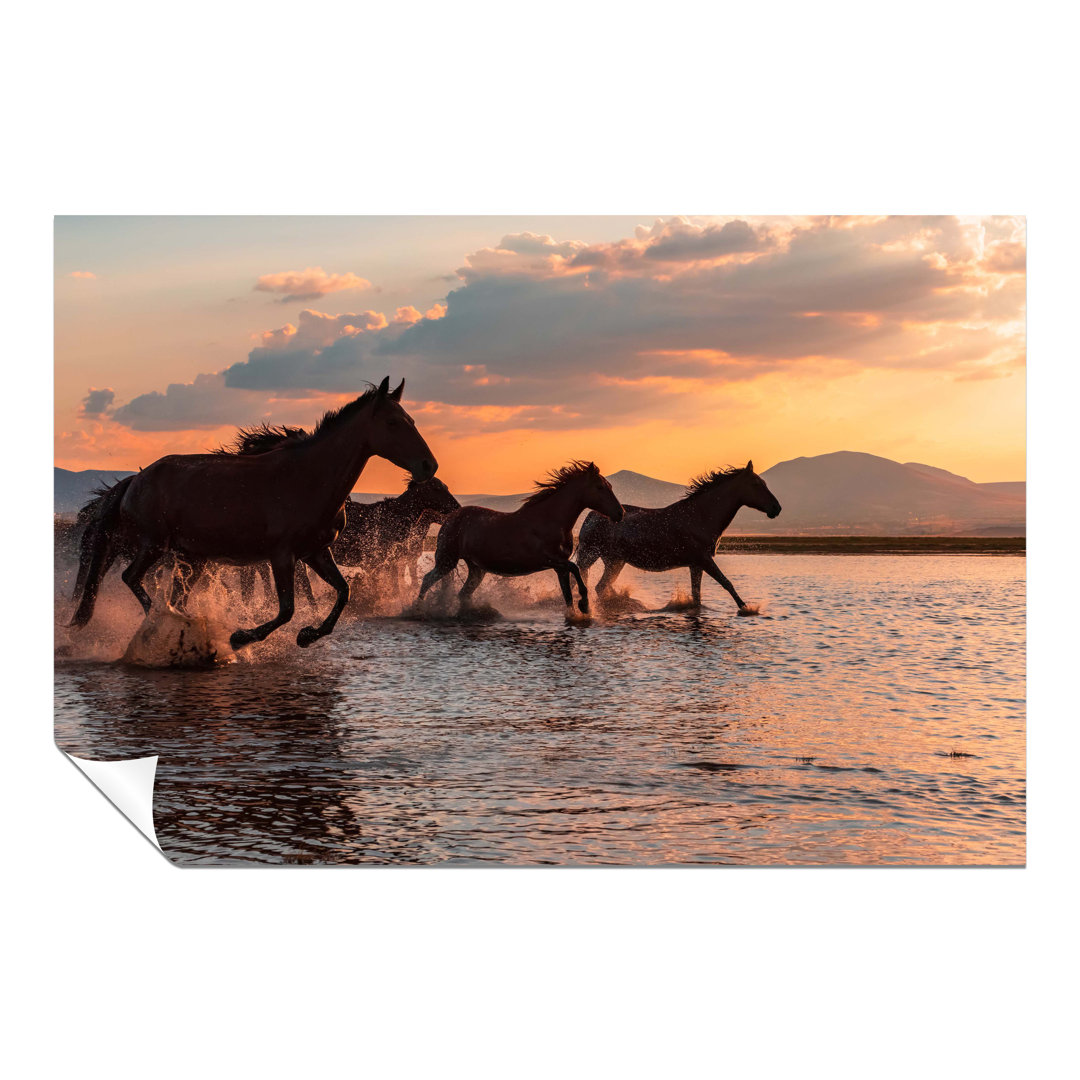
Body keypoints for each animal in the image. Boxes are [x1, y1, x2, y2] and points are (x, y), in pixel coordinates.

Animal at [70, 377, 437, 649]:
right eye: (393, 422)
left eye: (412, 420)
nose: (428, 465)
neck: (308, 478)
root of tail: (135, 480)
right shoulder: (282, 555)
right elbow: (287, 609)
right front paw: (242, 637)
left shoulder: (317, 552)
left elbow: (343, 592)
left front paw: (308, 635)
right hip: (154, 545)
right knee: (131, 578)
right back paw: (167, 624)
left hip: (192, 557)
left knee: (174, 595)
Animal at [417, 461, 623, 614]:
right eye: (600, 487)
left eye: (610, 486)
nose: (620, 513)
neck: (550, 520)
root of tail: (450, 518)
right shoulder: (549, 560)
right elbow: (575, 569)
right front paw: (585, 605)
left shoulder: (559, 567)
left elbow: (567, 595)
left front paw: (577, 613)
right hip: (446, 560)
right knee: (427, 580)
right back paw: (417, 609)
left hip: (476, 569)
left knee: (463, 594)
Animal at [574, 462, 781, 611]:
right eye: (756, 484)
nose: (776, 508)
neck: (700, 517)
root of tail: (591, 516)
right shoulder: (704, 560)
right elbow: (727, 583)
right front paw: (747, 608)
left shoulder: (696, 565)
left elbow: (697, 596)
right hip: (592, 555)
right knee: (593, 584)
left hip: (614, 561)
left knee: (600, 586)